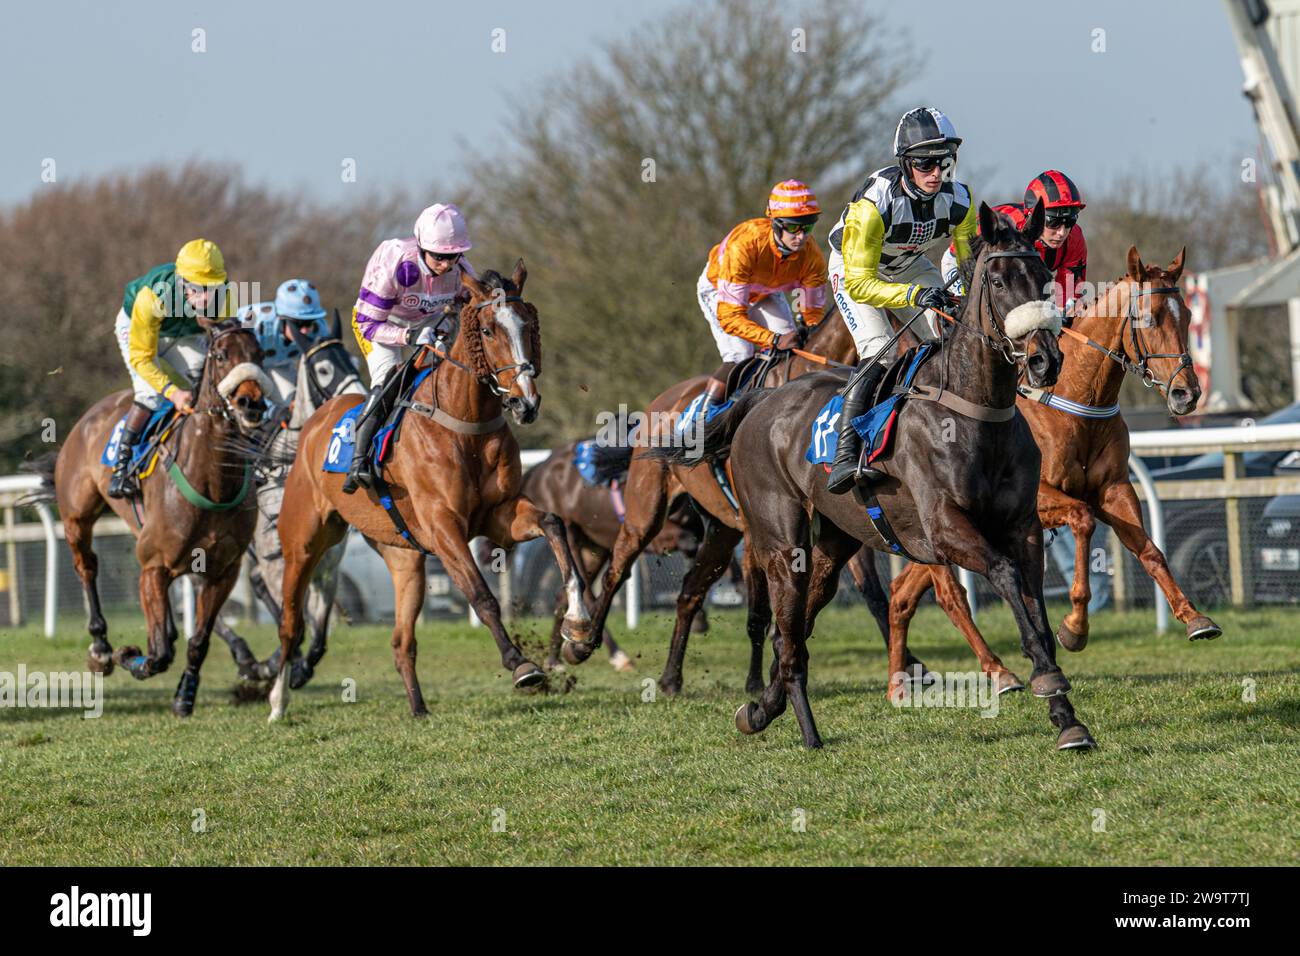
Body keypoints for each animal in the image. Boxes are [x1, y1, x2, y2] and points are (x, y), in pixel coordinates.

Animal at [43, 317, 271, 712]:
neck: (211, 479)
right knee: (86, 567)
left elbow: (198, 641)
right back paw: (101, 648)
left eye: (258, 355)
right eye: (222, 355)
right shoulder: (153, 565)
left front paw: (185, 694)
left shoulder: (223, 570)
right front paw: (129, 656)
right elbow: (159, 654)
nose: (251, 403)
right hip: (77, 517)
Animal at [269, 257, 595, 723]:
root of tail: (314, 422)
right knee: (290, 623)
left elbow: (553, 525)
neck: (465, 423)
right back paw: (278, 701)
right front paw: (521, 664)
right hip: (303, 544)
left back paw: (419, 708)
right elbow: (482, 595)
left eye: (530, 324)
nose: (526, 402)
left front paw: (579, 627)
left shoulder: (499, 514)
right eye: (489, 329)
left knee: (401, 640)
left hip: (404, 559)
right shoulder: (444, 528)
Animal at [564, 300, 868, 697]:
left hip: (723, 532)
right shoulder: (759, 532)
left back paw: (671, 678)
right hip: (646, 512)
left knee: (689, 593)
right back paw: (583, 644)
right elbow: (759, 612)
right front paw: (756, 684)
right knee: (618, 569)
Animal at [655, 204, 1092, 754]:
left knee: (795, 629)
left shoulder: (1024, 527)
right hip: (778, 541)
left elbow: (1036, 610)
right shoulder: (944, 529)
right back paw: (803, 730)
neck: (975, 410)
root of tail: (760, 400)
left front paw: (1067, 717)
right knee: (780, 627)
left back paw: (760, 710)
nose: (1043, 359)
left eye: (1044, 279)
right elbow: (1006, 577)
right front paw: (1044, 680)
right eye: (996, 281)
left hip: (836, 541)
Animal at [878, 243, 1222, 686]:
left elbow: (1150, 551)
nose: (1187, 394)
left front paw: (1194, 617)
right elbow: (1082, 519)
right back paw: (997, 670)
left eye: (1191, 315)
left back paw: (899, 681)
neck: (1075, 397)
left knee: (902, 593)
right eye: (1149, 317)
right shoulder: (1038, 500)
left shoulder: (1114, 489)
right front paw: (1074, 627)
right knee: (950, 595)